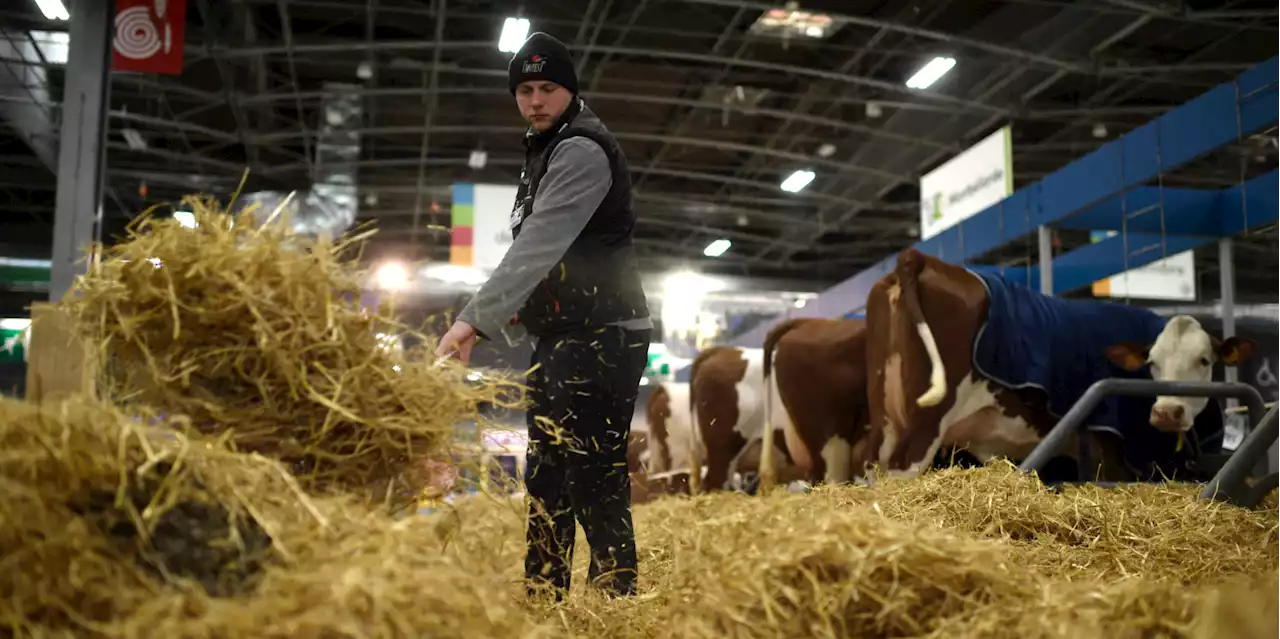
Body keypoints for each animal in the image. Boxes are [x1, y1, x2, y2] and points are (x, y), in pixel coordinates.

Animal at [865, 247, 1254, 481]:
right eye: (1152, 363)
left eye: (1204, 360)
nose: (1167, 413)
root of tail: (920, 258)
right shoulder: (1114, 452)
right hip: (924, 428)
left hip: (884, 420)